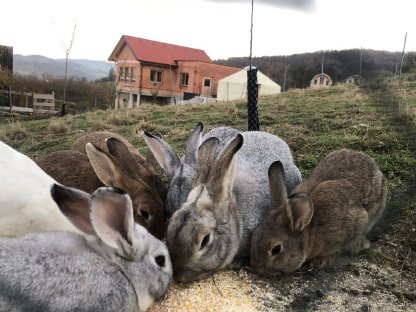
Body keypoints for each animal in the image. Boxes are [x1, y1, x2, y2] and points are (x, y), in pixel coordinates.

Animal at [249, 149, 388, 276]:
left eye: (276, 249)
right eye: (254, 236)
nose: (256, 268)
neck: (311, 231)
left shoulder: (354, 225)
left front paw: (321, 261)